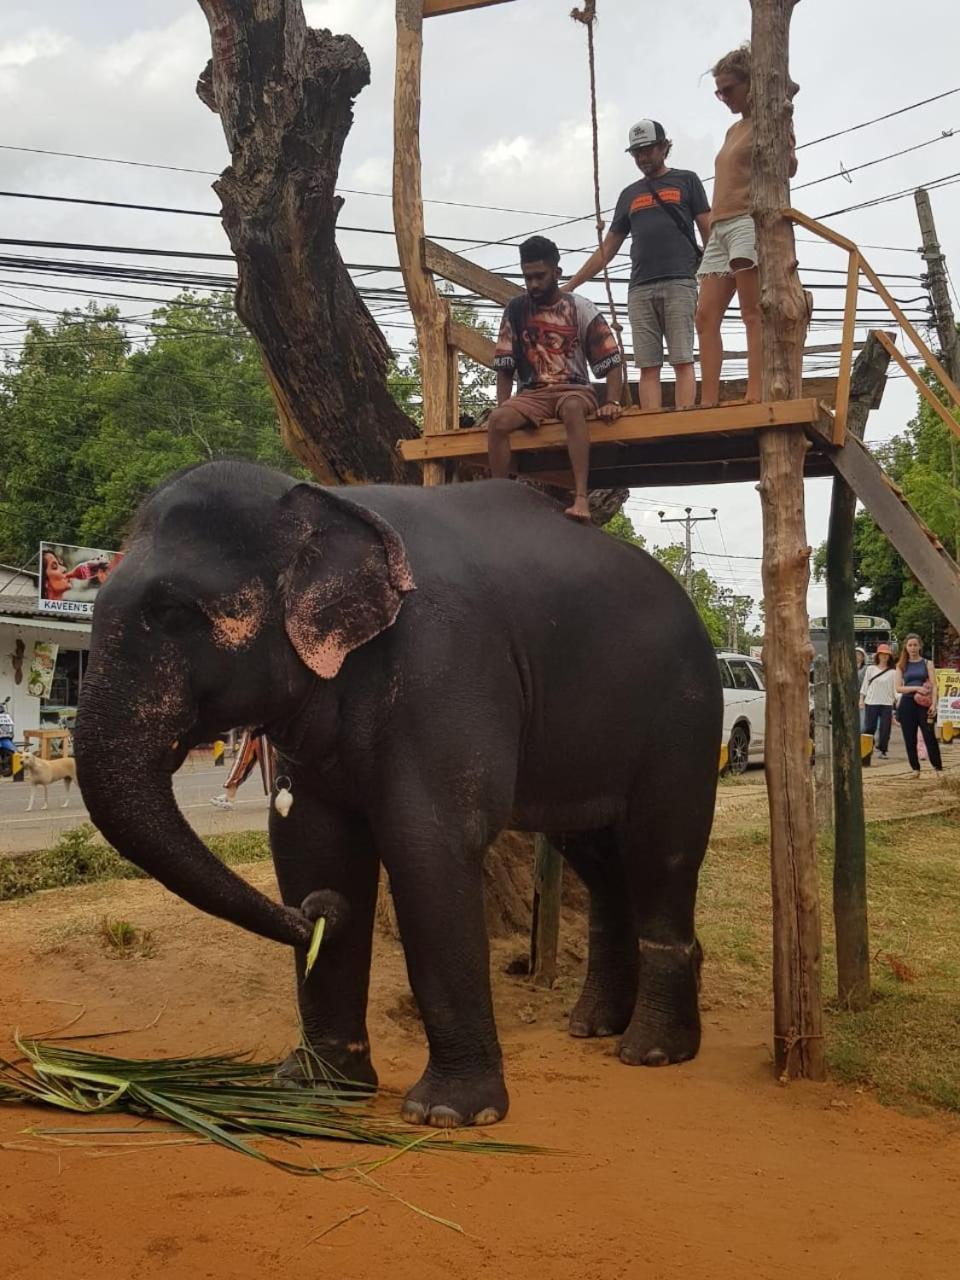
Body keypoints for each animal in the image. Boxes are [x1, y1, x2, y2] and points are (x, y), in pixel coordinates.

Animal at [73, 465, 721, 1126]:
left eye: (173, 611)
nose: (316, 915)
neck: (324, 505)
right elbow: (313, 846)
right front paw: (317, 1089)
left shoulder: (445, 661)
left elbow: (427, 842)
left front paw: (448, 1115)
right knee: (596, 857)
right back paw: (593, 1027)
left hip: (686, 713)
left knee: (661, 847)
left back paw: (653, 1050)